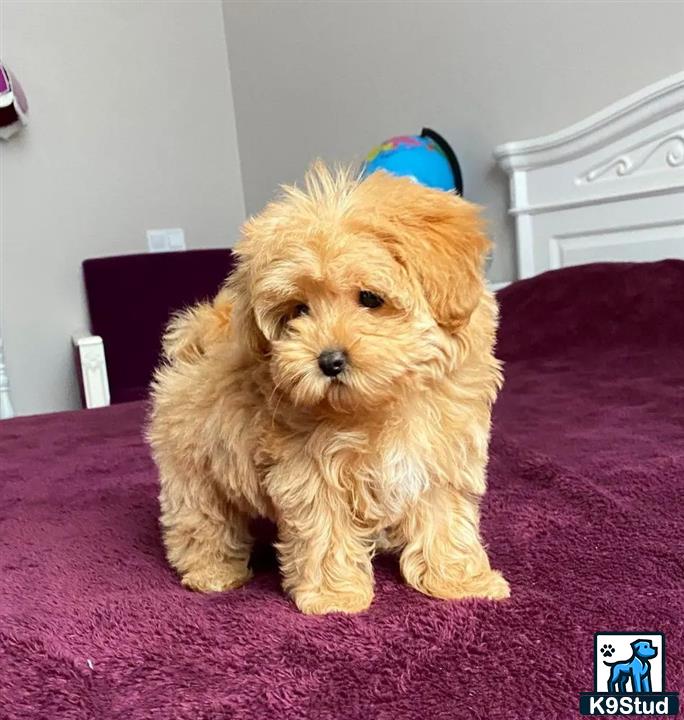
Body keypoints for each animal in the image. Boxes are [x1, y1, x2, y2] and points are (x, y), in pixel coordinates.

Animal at [148, 162, 508, 612]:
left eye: (370, 298)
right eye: (298, 310)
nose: (329, 361)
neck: (384, 402)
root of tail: (197, 340)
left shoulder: (439, 459)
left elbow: (445, 520)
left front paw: (461, 581)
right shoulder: (309, 470)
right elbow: (325, 530)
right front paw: (335, 596)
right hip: (193, 465)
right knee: (201, 518)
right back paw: (212, 572)